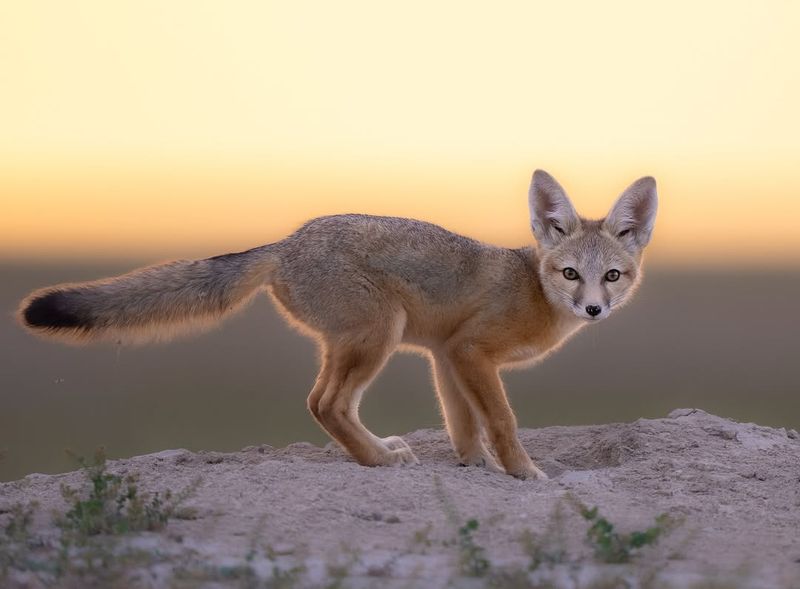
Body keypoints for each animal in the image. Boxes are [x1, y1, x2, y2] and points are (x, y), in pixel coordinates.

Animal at [18, 170, 657, 479]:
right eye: (571, 273)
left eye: (613, 276)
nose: (594, 309)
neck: (532, 286)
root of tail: (285, 243)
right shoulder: (471, 351)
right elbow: (500, 420)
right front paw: (524, 473)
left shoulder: (446, 354)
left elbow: (462, 424)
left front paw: (473, 465)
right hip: (379, 334)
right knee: (324, 404)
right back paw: (378, 460)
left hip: (357, 342)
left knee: (326, 404)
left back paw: (376, 450)